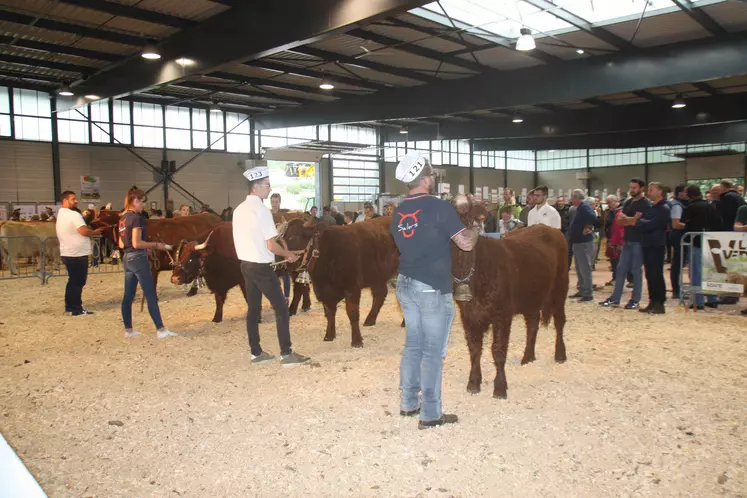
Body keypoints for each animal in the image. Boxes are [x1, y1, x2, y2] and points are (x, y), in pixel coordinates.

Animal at [452, 196, 568, 398]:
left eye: (471, 219)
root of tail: (548, 228)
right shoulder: (468, 314)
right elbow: (474, 349)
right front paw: (473, 383)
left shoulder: (502, 314)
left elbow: (498, 350)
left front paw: (500, 387)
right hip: (532, 296)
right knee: (533, 325)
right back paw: (528, 356)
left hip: (560, 288)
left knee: (560, 321)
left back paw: (560, 355)